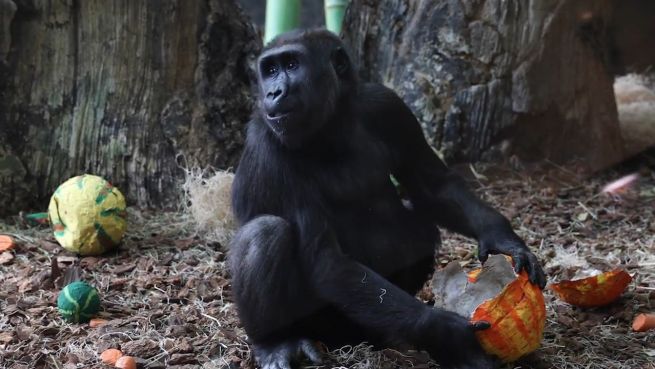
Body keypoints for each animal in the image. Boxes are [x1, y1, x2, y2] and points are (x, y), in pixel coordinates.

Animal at [228, 29, 544, 368]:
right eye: (270, 69)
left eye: (291, 64)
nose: (273, 92)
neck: (332, 122)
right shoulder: (267, 143)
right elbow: (325, 259)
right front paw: (445, 330)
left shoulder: (388, 106)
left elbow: (433, 185)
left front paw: (503, 239)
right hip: (322, 327)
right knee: (265, 233)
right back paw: (274, 343)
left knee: (420, 229)